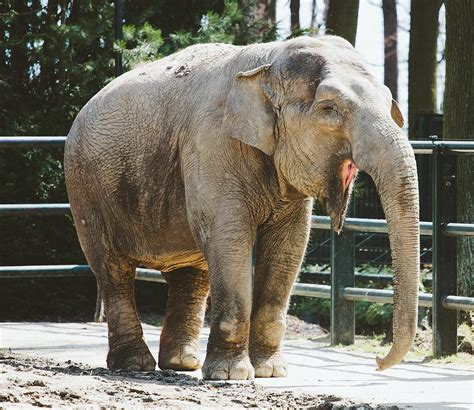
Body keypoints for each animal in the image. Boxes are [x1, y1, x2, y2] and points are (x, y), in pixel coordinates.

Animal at [63, 36, 418, 382]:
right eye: (329, 108)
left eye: (389, 102)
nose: (377, 361)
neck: (269, 60)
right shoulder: (212, 144)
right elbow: (229, 238)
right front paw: (231, 375)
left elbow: (289, 246)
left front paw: (270, 372)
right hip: (85, 187)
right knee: (113, 268)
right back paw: (135, 365)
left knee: (191, 274)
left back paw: (181, 363)